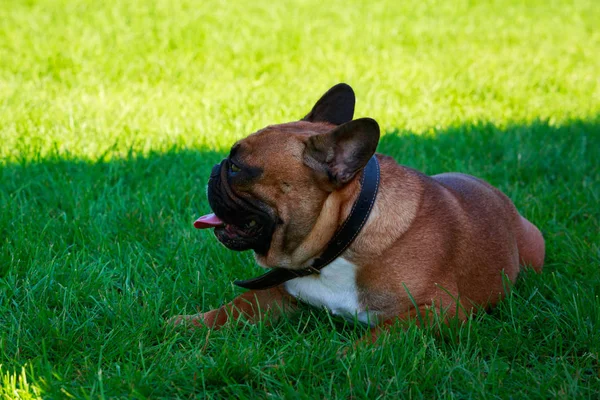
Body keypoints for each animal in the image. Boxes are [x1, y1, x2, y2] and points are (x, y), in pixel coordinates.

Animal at [171, 83, 548, 340]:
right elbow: (237, 305)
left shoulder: (439, 311)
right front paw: (188, 323)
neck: (343, 235)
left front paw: (345, 358)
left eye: (237, 167)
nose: (215, 168)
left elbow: (384, 335)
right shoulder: (280, 293)